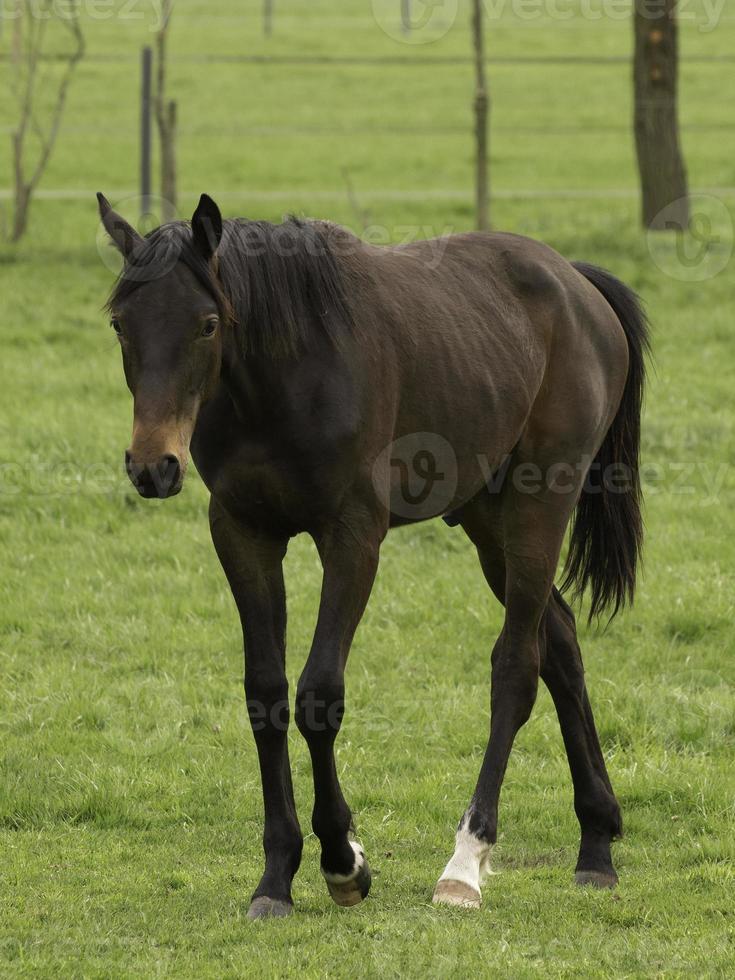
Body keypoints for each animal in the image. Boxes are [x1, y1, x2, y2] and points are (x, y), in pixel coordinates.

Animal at [95, 191, 648, 920]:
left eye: (207, 323)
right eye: (120, 325)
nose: (152, 465)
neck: (284, 377)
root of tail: (578, 286)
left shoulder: (353, 538)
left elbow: (318, 696)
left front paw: (343, 861)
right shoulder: (242, 533)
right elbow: (265, 694)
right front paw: (276, 876)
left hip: (539, 505)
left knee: (516, 667)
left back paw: (465, 862)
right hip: (485, 517)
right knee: (558, 642)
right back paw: (596, 844)